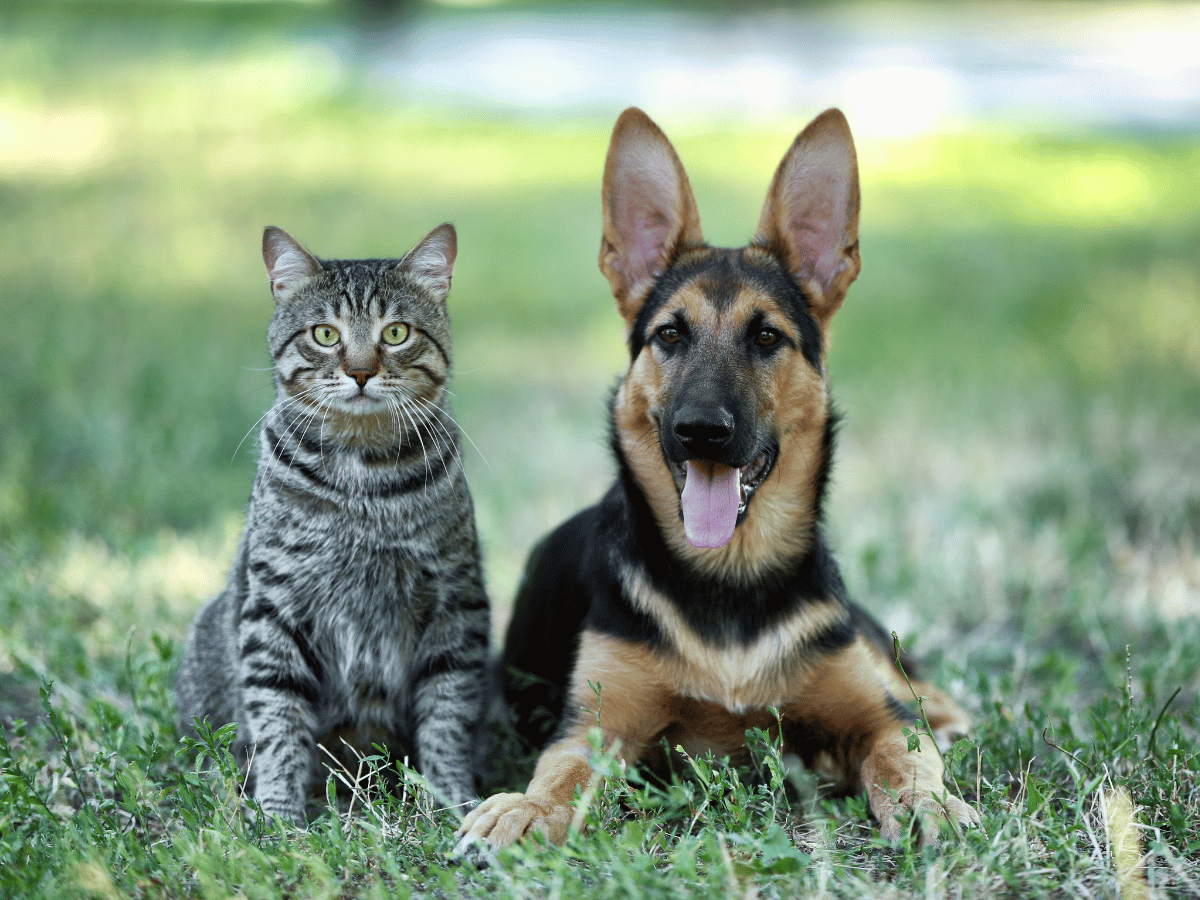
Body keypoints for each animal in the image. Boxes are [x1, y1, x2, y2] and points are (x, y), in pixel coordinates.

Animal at [172, 224, 487, 825]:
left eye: (396, 332)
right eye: (324, 334)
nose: (361, 371)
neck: (362, 483)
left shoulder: (455, 600)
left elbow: (447, 713)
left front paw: (453, 801)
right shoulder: (274, 605)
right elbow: (279, 719)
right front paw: (280, 815)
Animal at [456, 105, 974, 854]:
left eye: (767, 337)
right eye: (670, 335)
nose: (701, 431)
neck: (730, 576)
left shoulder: (876, 716)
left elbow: (903, 756)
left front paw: (929, 805)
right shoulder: (594, 728)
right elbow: (559, 774)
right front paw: (524, 807)